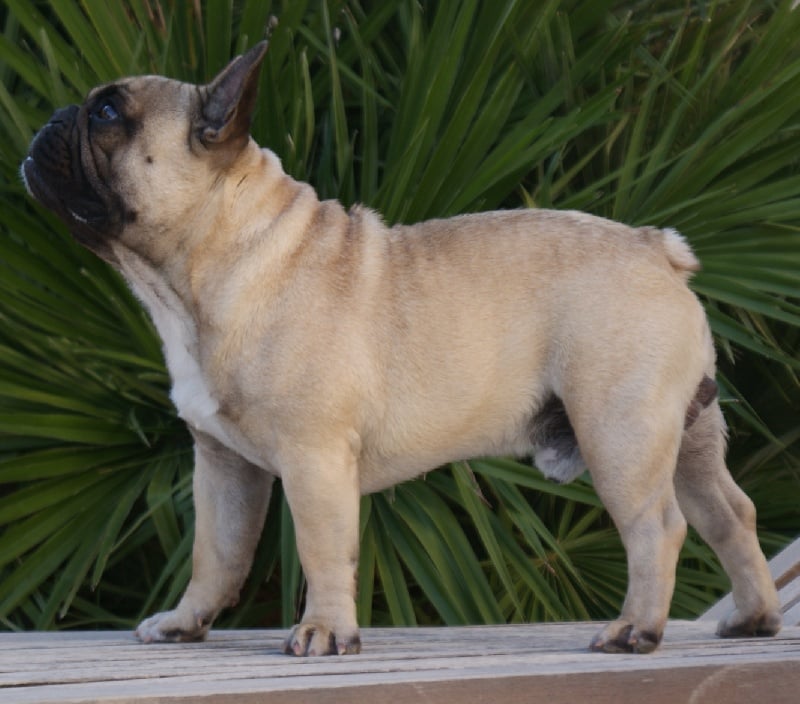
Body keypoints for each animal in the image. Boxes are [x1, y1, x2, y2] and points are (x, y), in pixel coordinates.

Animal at [22, 41, 781, 655]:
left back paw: (636, 630)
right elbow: (217, 554)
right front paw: (186, 622)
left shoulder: (313, 458)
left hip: (620, 430)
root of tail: (656, 248)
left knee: (660, 526)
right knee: (730, 512)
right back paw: (753, 618)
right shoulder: (222, 465)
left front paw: (325, 632)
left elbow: (322, 550)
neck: (206, 270)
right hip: (687, 433)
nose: (50, 120)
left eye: (108, 113)